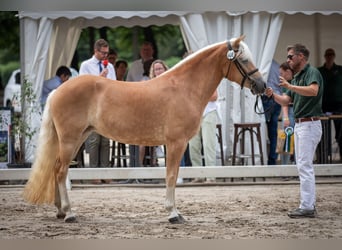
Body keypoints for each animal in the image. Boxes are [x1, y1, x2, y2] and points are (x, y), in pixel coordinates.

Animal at [22, 35, 266, 225]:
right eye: (243, 59)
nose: (262, 86)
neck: (183, 88)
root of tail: (59, 90)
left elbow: (172, 175)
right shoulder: (176, 143)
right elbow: (171, 176)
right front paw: (173, 214)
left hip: (77, 138)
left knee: (56, 168)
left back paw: (60, 211)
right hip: (70, 139)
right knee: (61, 171)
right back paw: (69, 213)